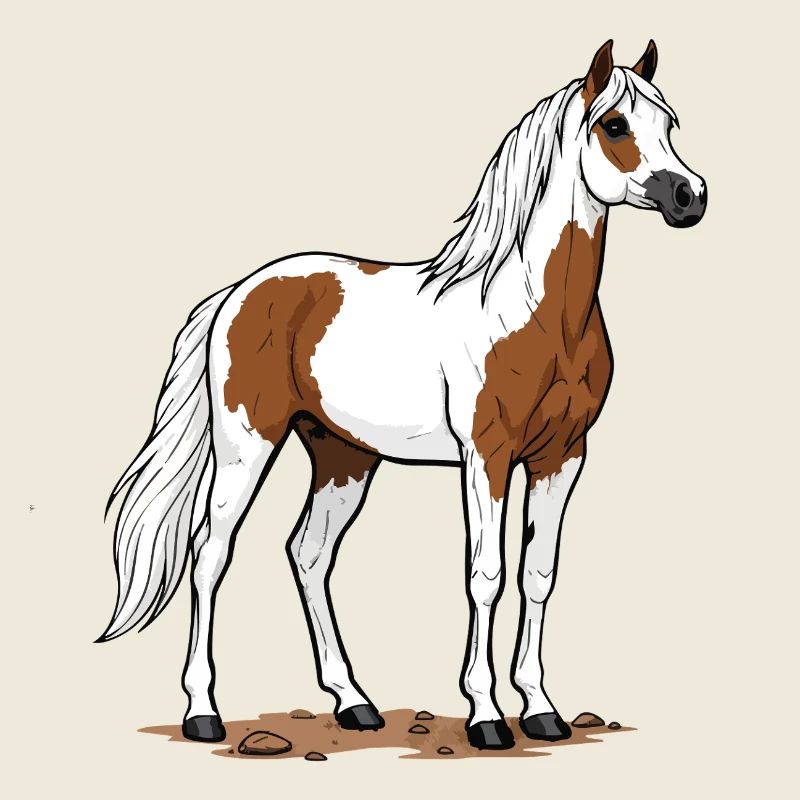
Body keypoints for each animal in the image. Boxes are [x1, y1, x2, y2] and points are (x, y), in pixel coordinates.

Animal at [99, 39, 706, 751]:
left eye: (670, 124)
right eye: (614, 125)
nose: (690, 197)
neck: (534, 311)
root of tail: (240, 292)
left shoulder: (563, 456)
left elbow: (538, 575)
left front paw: (541, 709)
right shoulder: (486, 456)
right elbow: (486, 576)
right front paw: (486, 716)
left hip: (343, 457)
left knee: (308, 554)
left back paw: (353, 703)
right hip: (247, 444)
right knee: (209, 554)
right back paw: (203, 712)